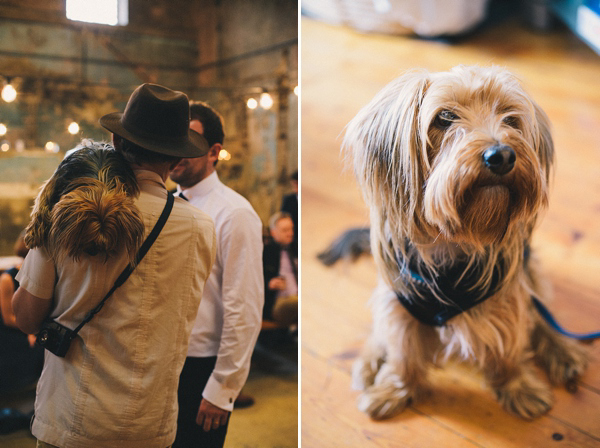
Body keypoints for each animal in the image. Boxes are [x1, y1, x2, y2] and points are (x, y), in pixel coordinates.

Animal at [332, 65, 592, 420]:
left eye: (510, 118)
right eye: (444, 117)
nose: (502, 155)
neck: (455, 242)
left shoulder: (505, 296)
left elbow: (509, 343)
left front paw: (518, 387)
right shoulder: (402, 301)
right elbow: (402, 349)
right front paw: (392, 389)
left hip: (531, 270)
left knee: (541, 314)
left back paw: (563, 350)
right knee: (380, 328)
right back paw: (369, 363)